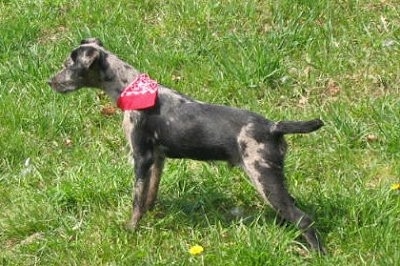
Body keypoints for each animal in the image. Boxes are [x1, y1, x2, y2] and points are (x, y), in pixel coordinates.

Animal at [48, 38, 326, 254]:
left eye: (67, 66)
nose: (49, 82)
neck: (129, 87)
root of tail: (273, 127)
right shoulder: (157, 158)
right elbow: (150, 193)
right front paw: (151, 214)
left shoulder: (141, 157)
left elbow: (137, 198)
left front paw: (131, 230)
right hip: (272, 176)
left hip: (263, 175)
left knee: (304, 219)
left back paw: (316, 253)